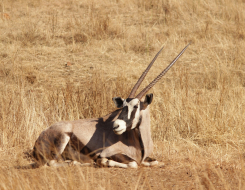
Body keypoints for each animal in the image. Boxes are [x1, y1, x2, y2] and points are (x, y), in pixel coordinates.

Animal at [32, 43, 189, 168]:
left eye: (135, 106)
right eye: (123, 105)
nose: (116, 125)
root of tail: (42, 135)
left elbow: (155, 162)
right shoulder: (112, 153)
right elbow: (133, 164)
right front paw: (104, 162)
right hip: (62, 139)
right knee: (51, 163)